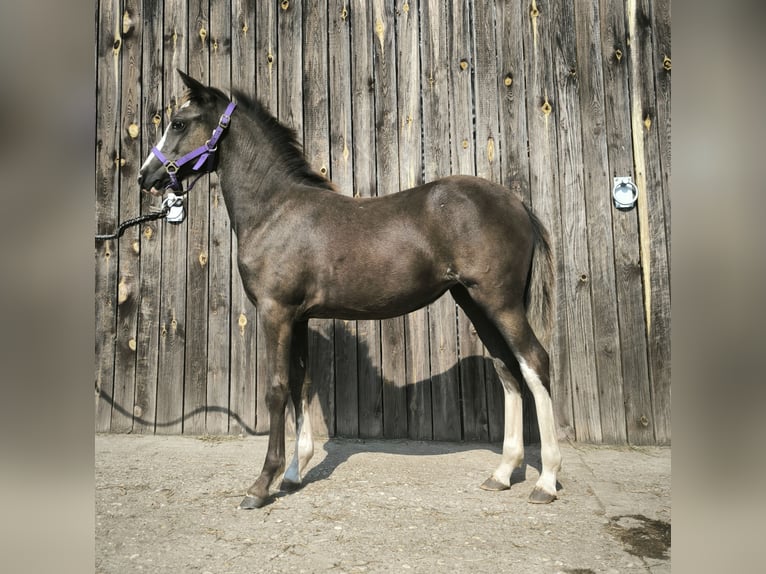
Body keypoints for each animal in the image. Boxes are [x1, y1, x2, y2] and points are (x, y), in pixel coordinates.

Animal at [138, 71, 564, 508]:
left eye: (179, 123)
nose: (146, 177)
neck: (275, 210)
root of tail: (516, 204)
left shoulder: (276, 312)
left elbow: (277, 389)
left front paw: (261, 484)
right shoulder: (299, 317)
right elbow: (301, 383)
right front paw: (293, 474)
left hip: (500, 302)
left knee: (535, 362)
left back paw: (546, 481)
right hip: (476, 303)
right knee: (508, 369)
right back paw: (502, 473)